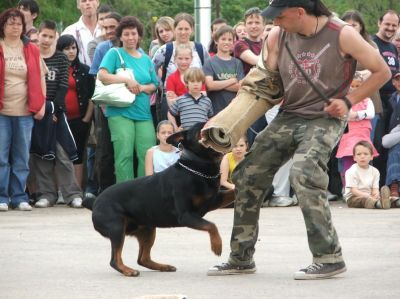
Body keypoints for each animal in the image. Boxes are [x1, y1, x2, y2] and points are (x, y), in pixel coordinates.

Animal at [83, 123, 236, 278]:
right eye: (200, 128)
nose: (218, 127)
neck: (198, 166)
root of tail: (95, 203)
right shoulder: (186, 215)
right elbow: (211, 225)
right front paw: (217, 245)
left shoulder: (214, 200)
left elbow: (232, 193)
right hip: (117, 227)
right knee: (115, 259)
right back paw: (128, 270)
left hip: (147, 228)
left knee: (143, 259)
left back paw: (163, 266)